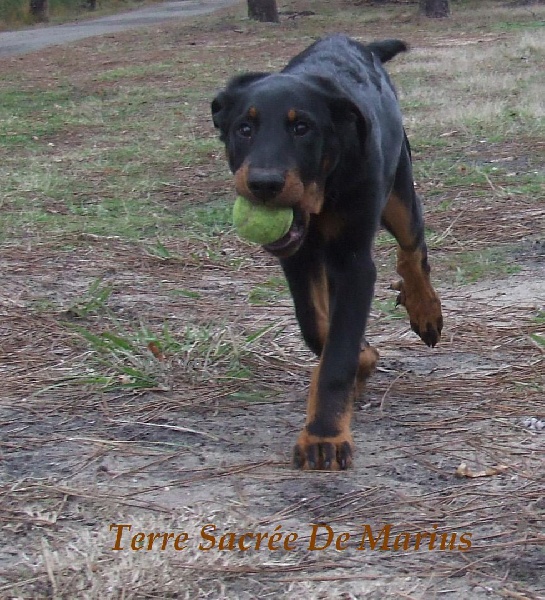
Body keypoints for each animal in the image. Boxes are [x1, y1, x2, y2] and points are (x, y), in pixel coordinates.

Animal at [211, 35, 443, 471]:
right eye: (244, 128)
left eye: (302, 128)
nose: (263, 184)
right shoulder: (298, 258)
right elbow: (318, 330)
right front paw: (364, 360)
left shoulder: (353, 262)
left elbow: (337, 354)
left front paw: (324, 436)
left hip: (399, 194)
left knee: (412, 249)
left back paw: (425, 310)